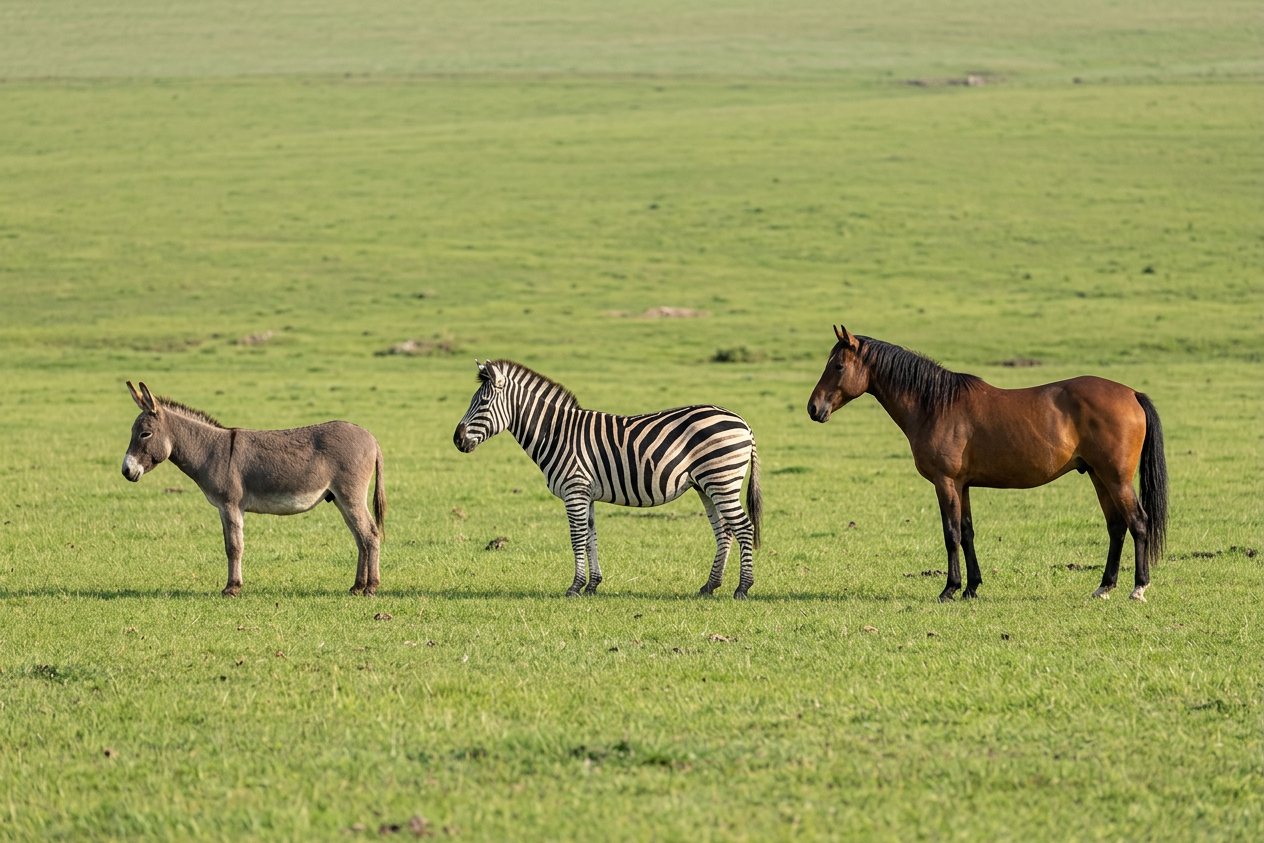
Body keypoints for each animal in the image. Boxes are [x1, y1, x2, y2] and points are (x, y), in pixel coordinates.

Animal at [121, 381, 386, 596]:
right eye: (132, 433)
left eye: (145, 434)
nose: (126, 471)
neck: (210, 450)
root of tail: (372, 438)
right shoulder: (223, 508)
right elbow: (230, 544)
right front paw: (233, 586)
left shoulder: (231, 505)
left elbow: (234, 547)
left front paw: (231, 588)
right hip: (340, 498)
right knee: (360, 537)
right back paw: (357, 586)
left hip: (350, 495)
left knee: (370, 534)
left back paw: (371, 587)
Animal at [453, 359, 762, 598]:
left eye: (482, 403)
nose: (456, 440)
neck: (556, 433)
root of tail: (743, 422)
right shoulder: (585, 493)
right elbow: (591, 536)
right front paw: (592, 585)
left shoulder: (574, 489)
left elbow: (577, 537)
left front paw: (575, 587)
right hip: (706, 486)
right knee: (724, 531)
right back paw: (710, 586)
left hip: (721, 480)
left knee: (744, 527)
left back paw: (742, 588)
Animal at [807, 326, 1168, 602]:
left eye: (837, 366)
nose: (813, 408)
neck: (934, 406)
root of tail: (1132, 394)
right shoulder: (963, 485)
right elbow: (967, 532)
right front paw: (971, 588)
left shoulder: (946, 482)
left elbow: (951, 533)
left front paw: (949, 590)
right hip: (1097, 476)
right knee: (1116, 526)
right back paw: (1104, 587)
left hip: (1116, 478)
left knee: (1138, 522)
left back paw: (1138, 588)